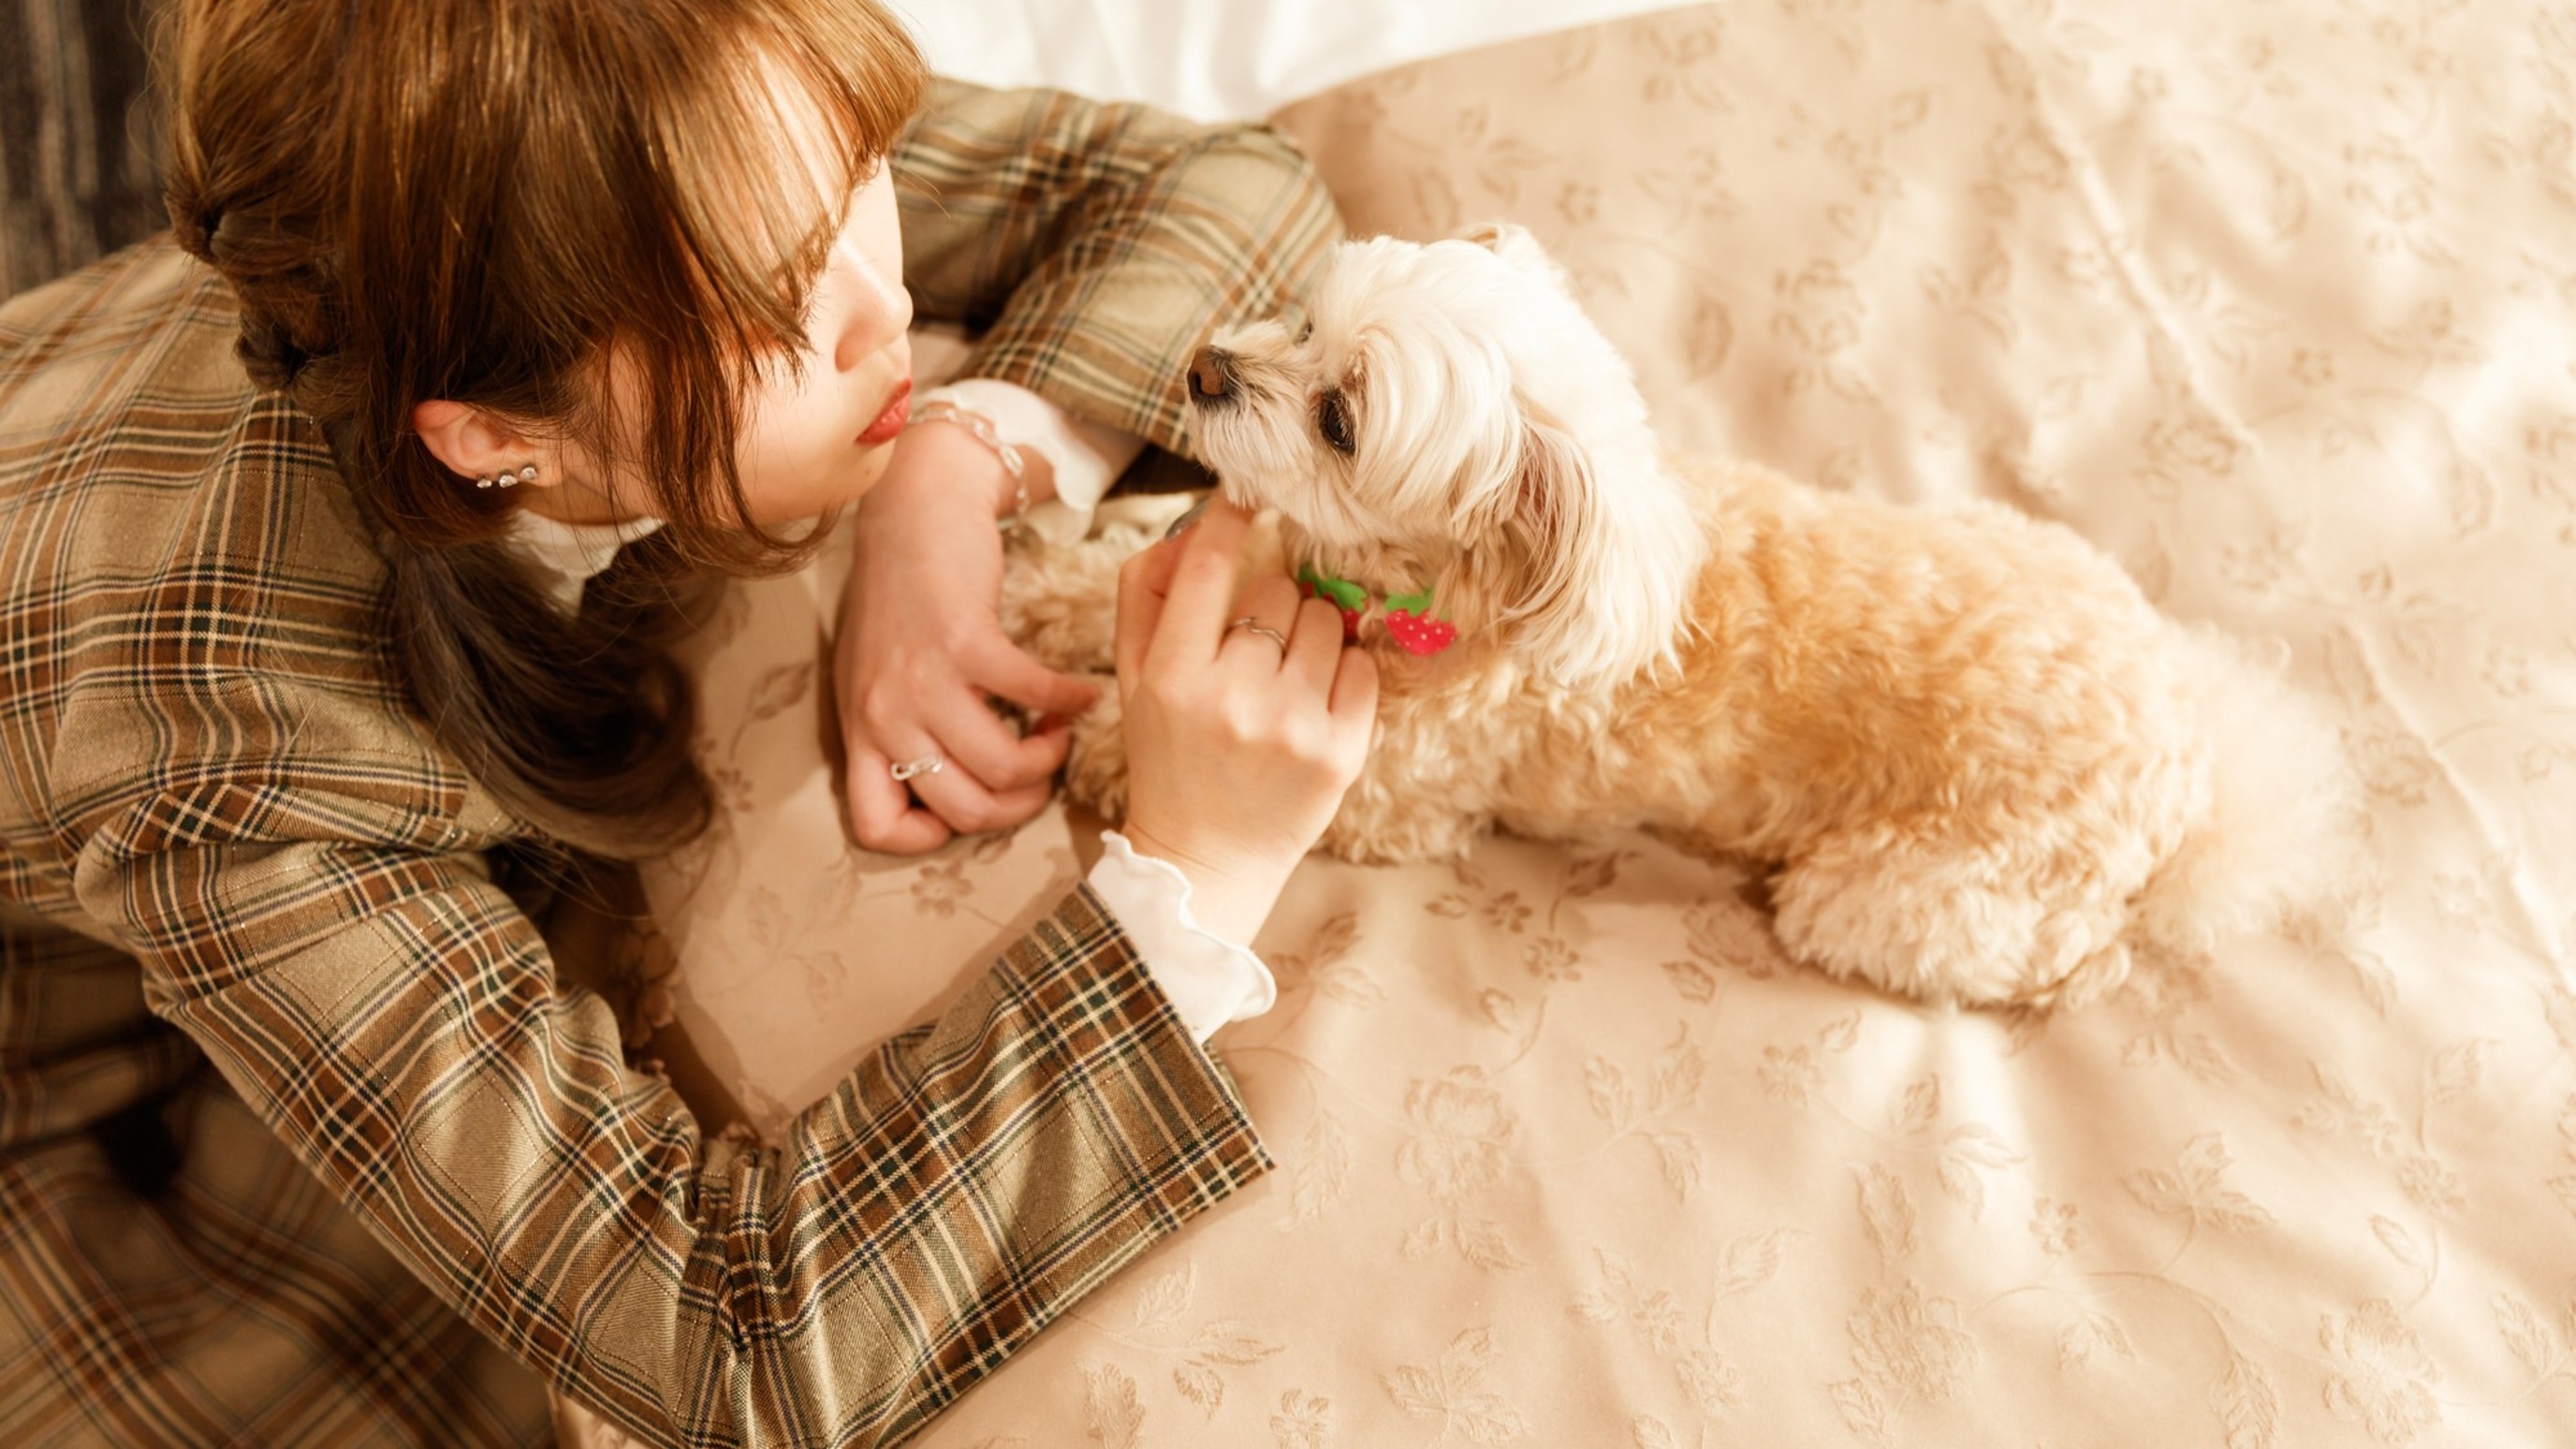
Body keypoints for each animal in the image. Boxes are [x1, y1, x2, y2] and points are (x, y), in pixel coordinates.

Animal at [999, 223, 2359, 1005]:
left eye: (1340, 418)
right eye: (1296, 315)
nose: (1202, 371)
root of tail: (2192, 783)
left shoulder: (1392, 791)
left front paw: (1112, 744)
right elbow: (1101, 584)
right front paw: (1043, 589)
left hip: (1899, 899)